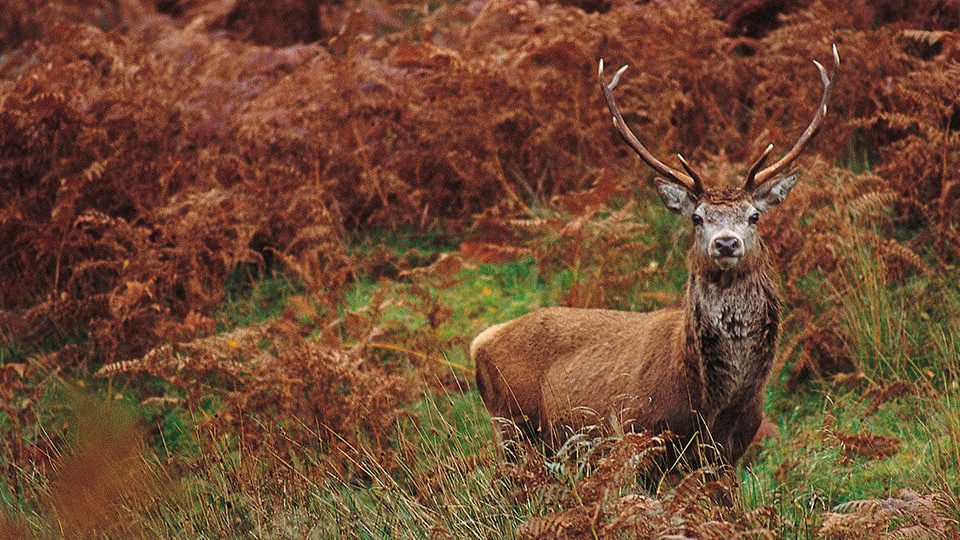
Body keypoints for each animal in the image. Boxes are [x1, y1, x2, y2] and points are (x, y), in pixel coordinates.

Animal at [472, 46, 840, 464]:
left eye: (754, 216)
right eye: (697, 217)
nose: (726, 243)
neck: (712, 405)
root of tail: (481, 341)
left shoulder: (732, 450)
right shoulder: (640, 433)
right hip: (512, 426)